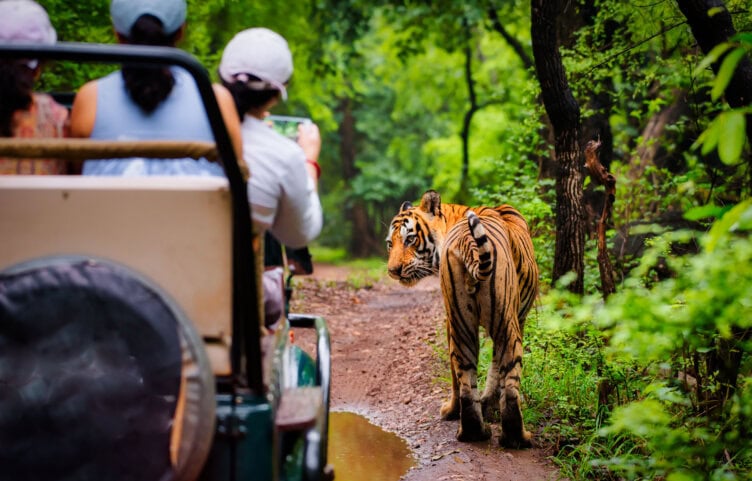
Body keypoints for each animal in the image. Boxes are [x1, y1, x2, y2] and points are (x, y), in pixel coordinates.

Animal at [386, 190, 539, 448]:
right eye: (390, 243)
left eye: (410, 239)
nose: (393, 271)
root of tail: (468, 240)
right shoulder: (520, 317)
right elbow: (497, 368)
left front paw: (475, 408)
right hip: (506, 324)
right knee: (509, 383)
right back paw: (515, 437)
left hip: (462, 322)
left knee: (465, 377)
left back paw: (473, 431)